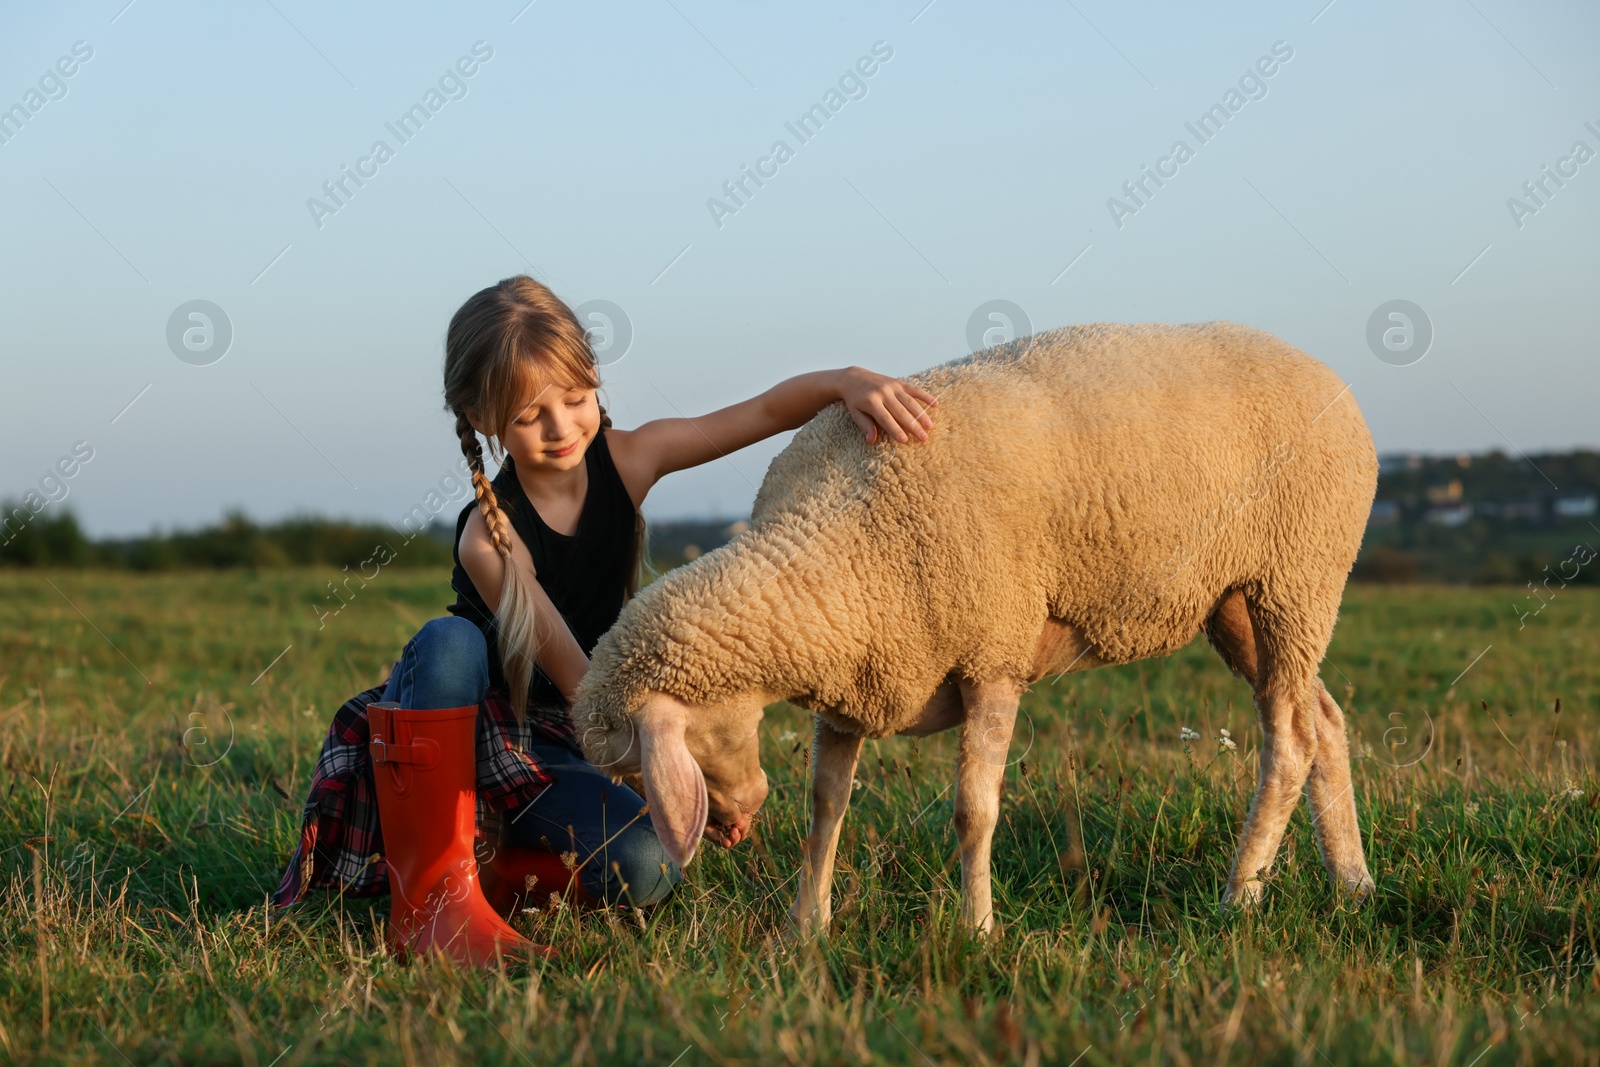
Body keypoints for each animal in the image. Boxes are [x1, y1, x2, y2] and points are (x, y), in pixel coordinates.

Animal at [576, 323, 1376, 934]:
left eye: (644, 762)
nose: (728, 829)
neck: (833, 538)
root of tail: (1330, 378)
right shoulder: (855, 684)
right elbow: (824, 808)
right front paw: (806, 929)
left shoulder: (994, 654)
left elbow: (974, 811)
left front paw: (978, 929)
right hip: (1237, 603)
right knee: (1324, 719)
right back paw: (1353, 882)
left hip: (1298, 574)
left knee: (1289, 738)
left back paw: (1241, 896)